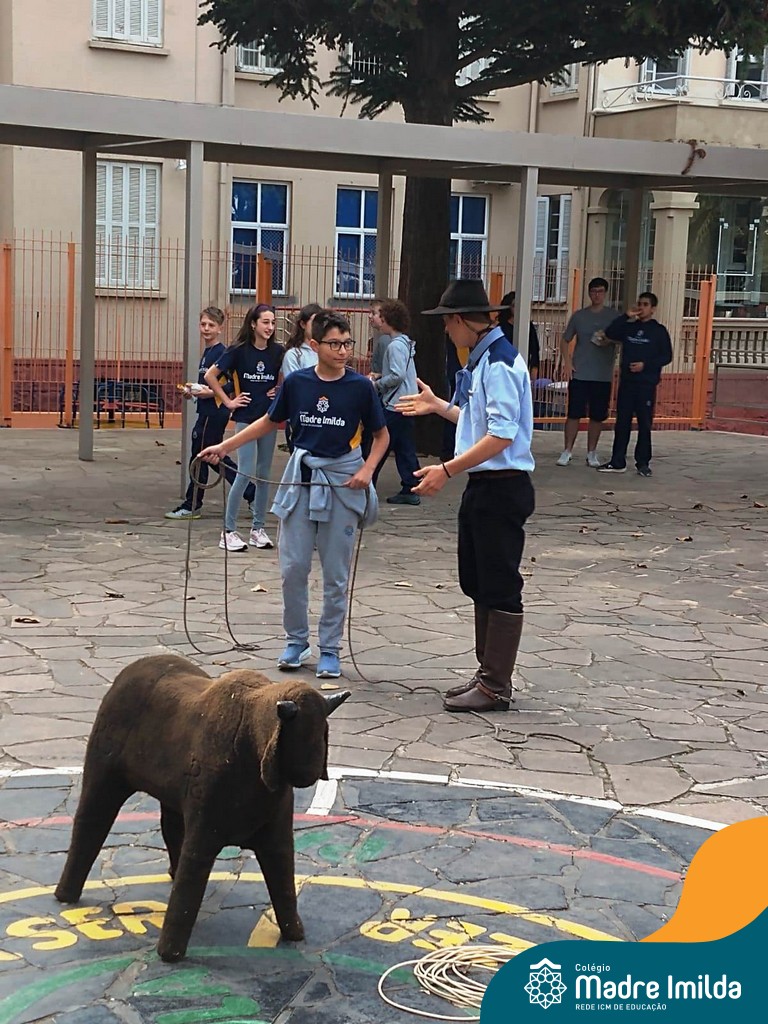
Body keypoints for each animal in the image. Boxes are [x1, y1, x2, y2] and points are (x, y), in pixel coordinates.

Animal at [54, 654, 350, 962]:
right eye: (301, 734)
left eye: (323, 731)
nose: (311, 771)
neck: (252, 746)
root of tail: (135, 666)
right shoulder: (205, 828)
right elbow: (189, 889)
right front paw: (170, 952)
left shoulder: (276, 834)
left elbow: (283, 883)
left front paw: (294, 933)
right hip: (104, 772)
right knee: (90, 824)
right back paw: (66, 893)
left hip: (170, 794)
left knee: (171, 830)